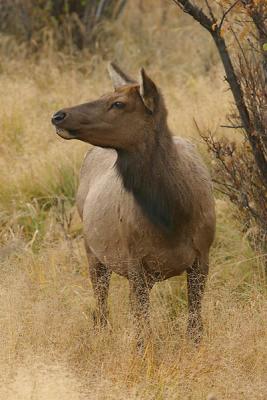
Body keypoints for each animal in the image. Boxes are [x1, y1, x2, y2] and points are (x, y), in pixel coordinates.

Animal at [51, 63, 217, 344]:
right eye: (105, 93)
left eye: (118, 103)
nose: (58, 115)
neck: (172, 218)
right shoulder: (134, 260)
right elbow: (142, 331)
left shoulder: (202, 255)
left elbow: (195, 326)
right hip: (91, 248)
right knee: (101, 302)